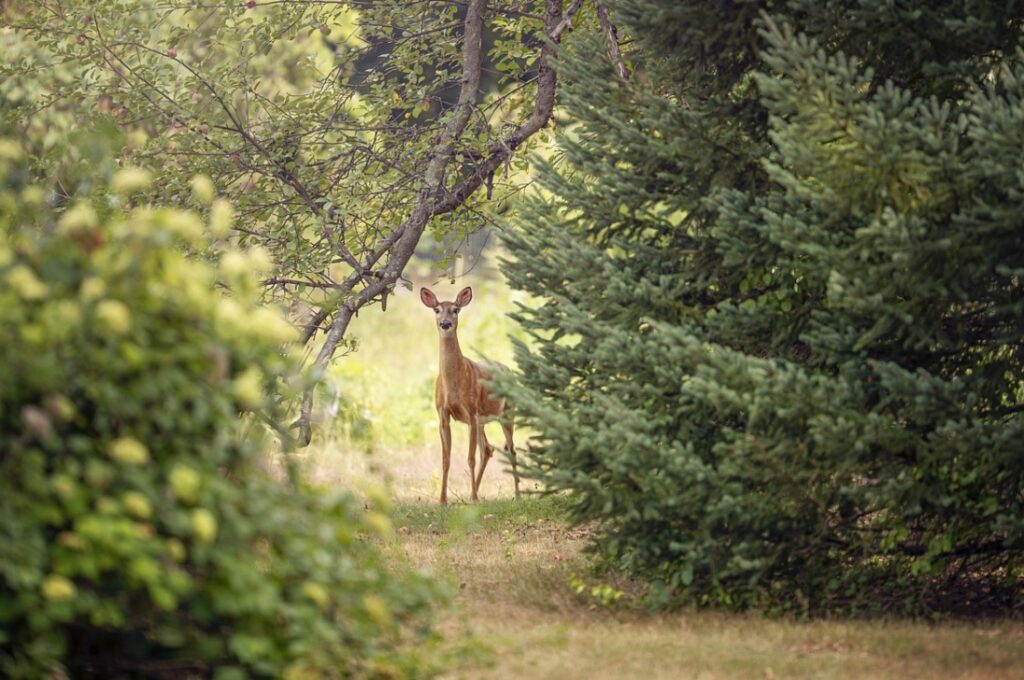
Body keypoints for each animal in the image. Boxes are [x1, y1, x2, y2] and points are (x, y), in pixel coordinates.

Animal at [417, 284, 520, 503]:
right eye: (436, 310)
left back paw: (516, 494)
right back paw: (477, 491)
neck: (453, 384)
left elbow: (470, 458)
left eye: (455, 309)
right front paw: (442, 500)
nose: (445, 323)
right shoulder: (442, 414)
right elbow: (446, 459)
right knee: (488, 449)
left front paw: (471, 498)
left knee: (511, 450)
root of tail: (508, 370)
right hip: (483, 420)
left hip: (507, 412)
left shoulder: (471, 411)